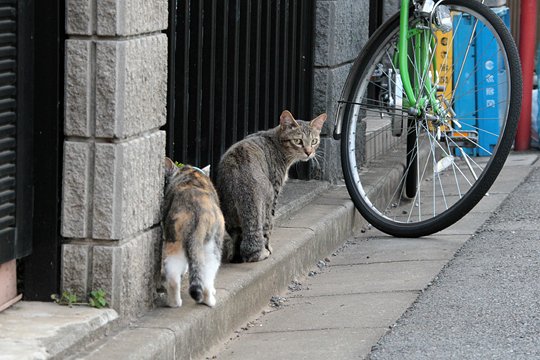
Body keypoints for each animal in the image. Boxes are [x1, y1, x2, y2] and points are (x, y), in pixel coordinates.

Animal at [162, 158, 226, 306]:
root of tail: (196, 211)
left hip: (174, 240)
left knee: (173, 276)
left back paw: (175, 303)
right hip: (213, 247)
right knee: (207, 276)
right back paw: (209, 300)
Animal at [216, 109, 326, 262]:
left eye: (314, 141)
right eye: (298, 141)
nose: (309, 152)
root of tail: (244, 184)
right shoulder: (276, 187)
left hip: (229, 213)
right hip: (268, 203)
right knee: (265, 229)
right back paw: (266, 250)